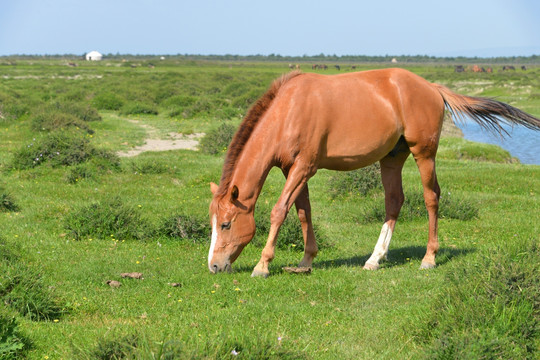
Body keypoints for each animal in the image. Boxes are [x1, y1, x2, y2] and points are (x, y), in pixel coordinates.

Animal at [208, 68, 540, 276]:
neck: (288, 111)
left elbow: (280, 211)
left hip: (424, 154)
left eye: (226, 224)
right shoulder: (293, 169)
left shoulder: (303, 168)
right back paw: (374, 259)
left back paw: (429, 258)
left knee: (431, 198)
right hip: (392, 158)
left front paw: (262, 265)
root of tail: (432, 88)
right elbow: (303, 212)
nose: (214, 266)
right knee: (394, 201)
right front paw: (305, 260)